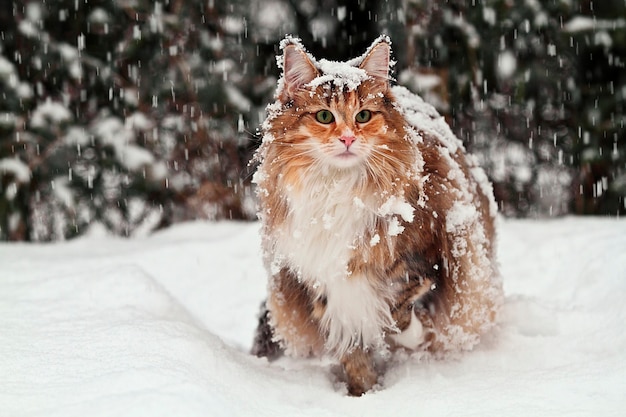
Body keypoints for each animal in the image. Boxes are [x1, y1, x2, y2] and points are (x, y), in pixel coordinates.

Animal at [251, 35, 500, 394]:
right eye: (324, 116)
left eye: (364, 115)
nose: (348, 138)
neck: (337, 189)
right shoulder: (321, 281)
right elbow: (353, 351)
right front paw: (363, 392)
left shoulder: (428, 257)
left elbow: (401, 310)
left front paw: (412, 337)